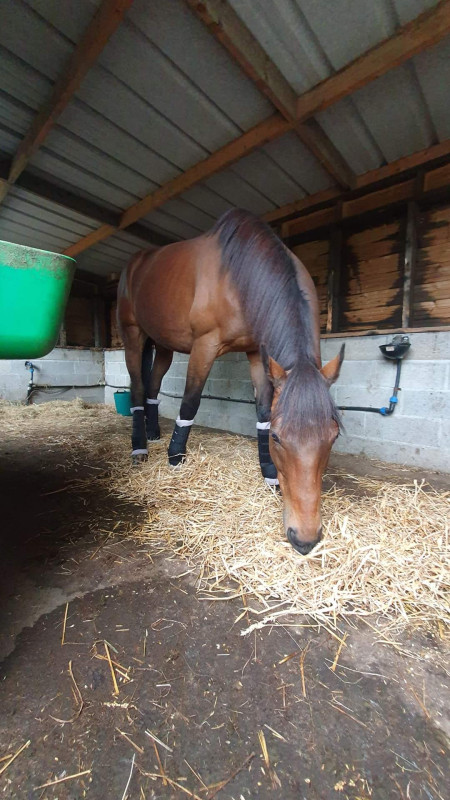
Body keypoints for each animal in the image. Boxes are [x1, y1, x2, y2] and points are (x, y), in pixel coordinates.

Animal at [117, 209, 344, 555]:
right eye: (278, 438)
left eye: (332, 437)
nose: (304, 539)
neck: (239, 275)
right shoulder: (204, 345)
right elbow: (190, 401)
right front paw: (175, 457)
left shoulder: (256, 353)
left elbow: (262, 411)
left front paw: (268, 473)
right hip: (133, 335)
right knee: (138, 388)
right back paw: (140, 447)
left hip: (164, 344)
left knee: (153, 386)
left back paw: (153, 433)